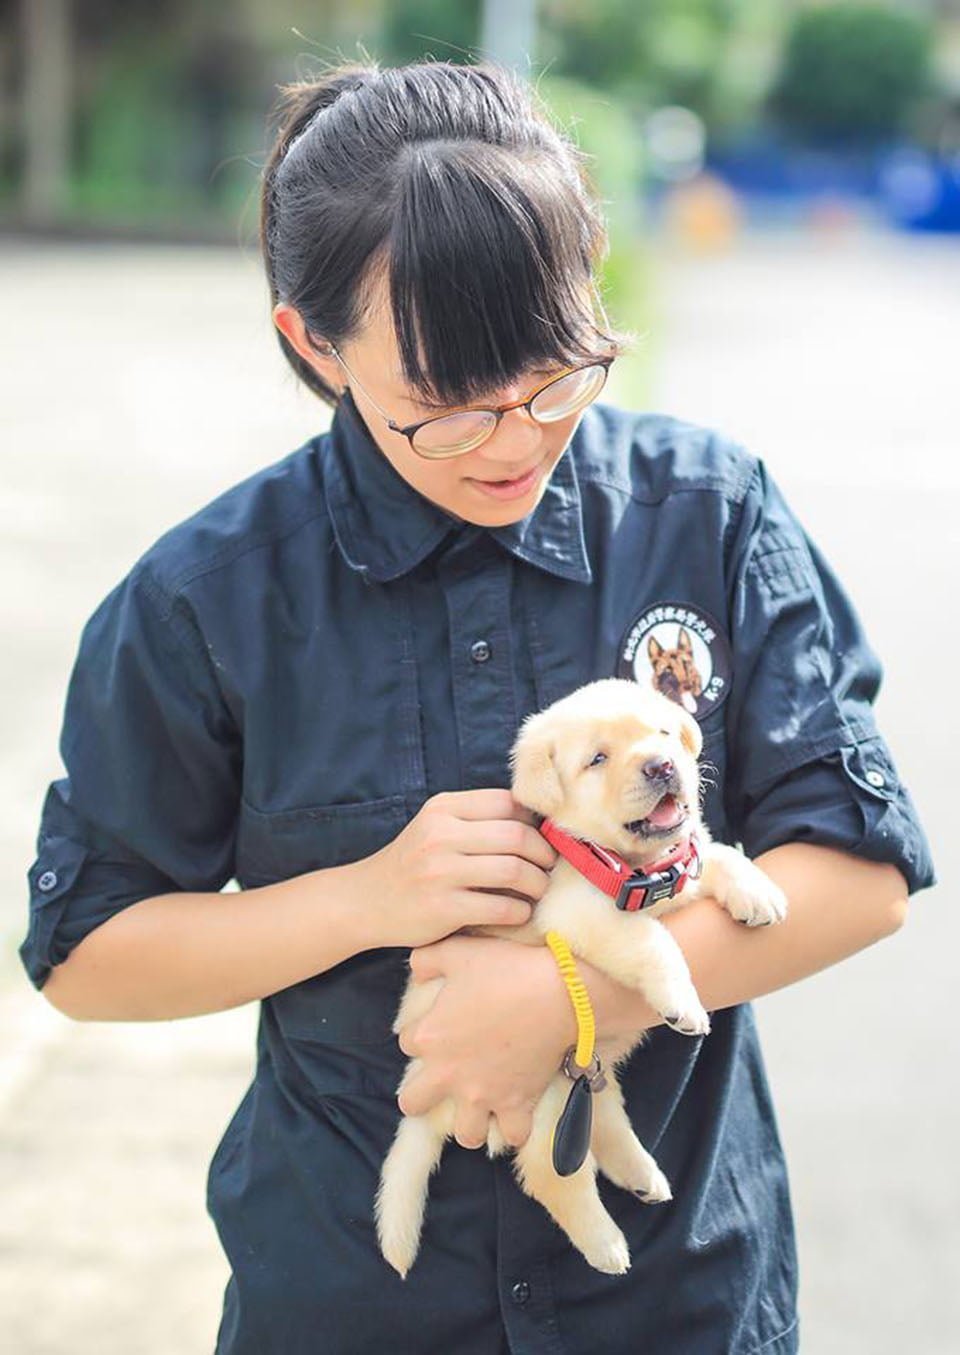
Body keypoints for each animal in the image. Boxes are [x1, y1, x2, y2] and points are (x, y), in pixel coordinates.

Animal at [374, 677, 786, 1279]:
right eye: (598, 759)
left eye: (663, 732)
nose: (662, 765)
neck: (634, 867)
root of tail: (420, 1099)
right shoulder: (582, 916)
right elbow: (652, 940)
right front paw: (683, 1002)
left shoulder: (681, 871)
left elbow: (714, 855)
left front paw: (759, 894)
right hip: (545, 1099)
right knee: (547, 1173)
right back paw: (607, 1244)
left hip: (587, 1074)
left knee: (606, 1116)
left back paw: (642, 1176)